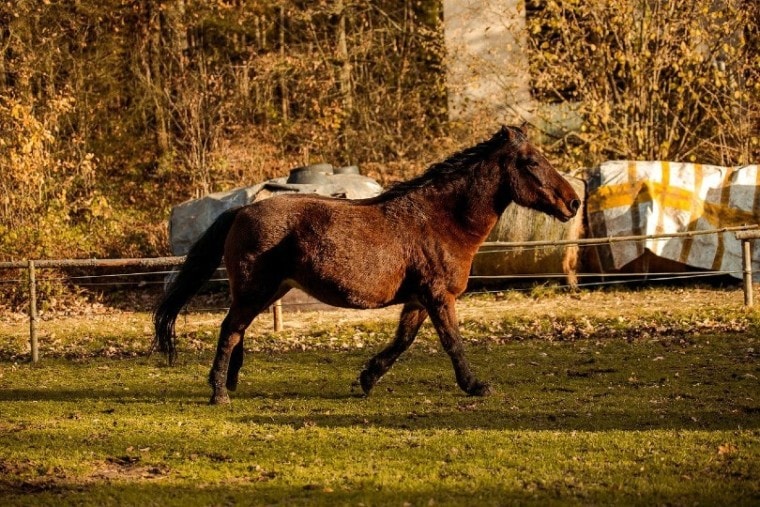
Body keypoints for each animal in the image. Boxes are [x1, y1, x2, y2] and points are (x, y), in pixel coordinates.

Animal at [156, 126, 580, 404]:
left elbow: (402, 341)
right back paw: (218, 393)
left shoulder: (419, 300)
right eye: (531, 162)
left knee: (237, 331)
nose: (573, 203)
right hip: (254, 291)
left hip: (265, 291)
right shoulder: (439, 297)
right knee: (229, 331)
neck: (440, 220)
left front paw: (366, 378)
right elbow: (452, 342)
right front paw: (475, 386)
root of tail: (241, 210)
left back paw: (230, 384)